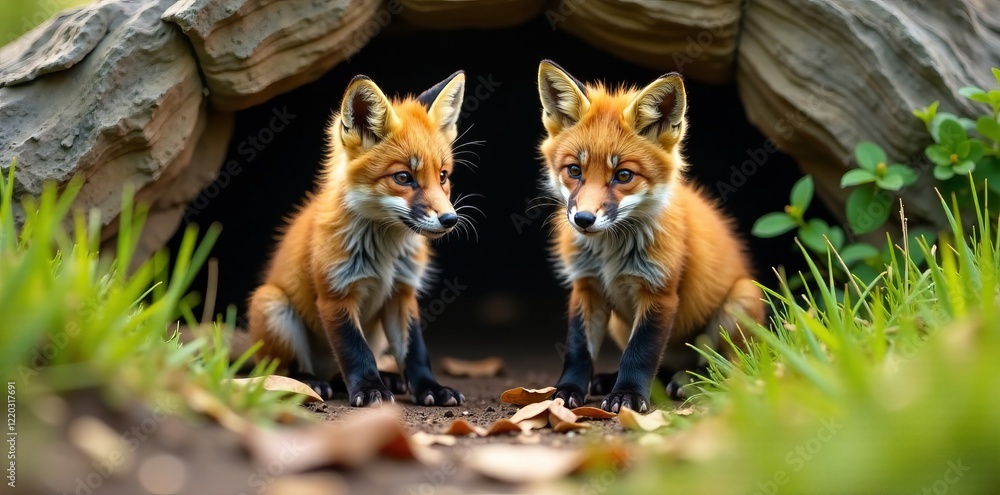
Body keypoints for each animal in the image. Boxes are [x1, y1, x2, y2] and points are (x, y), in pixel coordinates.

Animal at [248, 71, 471, 407]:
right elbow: (355, 350)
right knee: (280, 369)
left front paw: (430, 388)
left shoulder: (402, 292)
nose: (450, 220)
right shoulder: (336, 292)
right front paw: (369, 390)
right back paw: (308, 381)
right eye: (403, 177)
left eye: (442, 176)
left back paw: (385, 378)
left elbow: (416, 352)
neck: (384, 257)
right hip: (272, 304)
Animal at [535, 60, 766, 413]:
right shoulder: (586, 286)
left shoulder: (659, 291)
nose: (583, 219)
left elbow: (640, 353)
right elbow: (578, 349)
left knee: (726, 367)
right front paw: (568, 390)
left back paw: (691, 383)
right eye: (574, 170)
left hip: (737, 304)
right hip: (619, 324)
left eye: (623, 175)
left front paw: (628, 395)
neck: (610, 256)